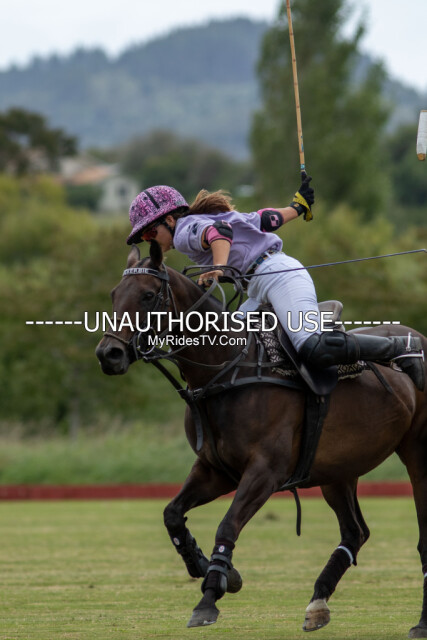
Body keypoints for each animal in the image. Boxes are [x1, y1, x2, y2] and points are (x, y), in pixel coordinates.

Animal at [96, 241, 427, 637]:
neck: (226, 368)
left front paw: (209, 597)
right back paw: (317, 603)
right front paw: (213, 570)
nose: (108, 354)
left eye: (147, 295)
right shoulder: (215, 469)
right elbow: (172, 514)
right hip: (339, 469)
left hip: (417, 454)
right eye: (114, 294)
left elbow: (227, 524)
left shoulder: (265, 472)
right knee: (354, 532)